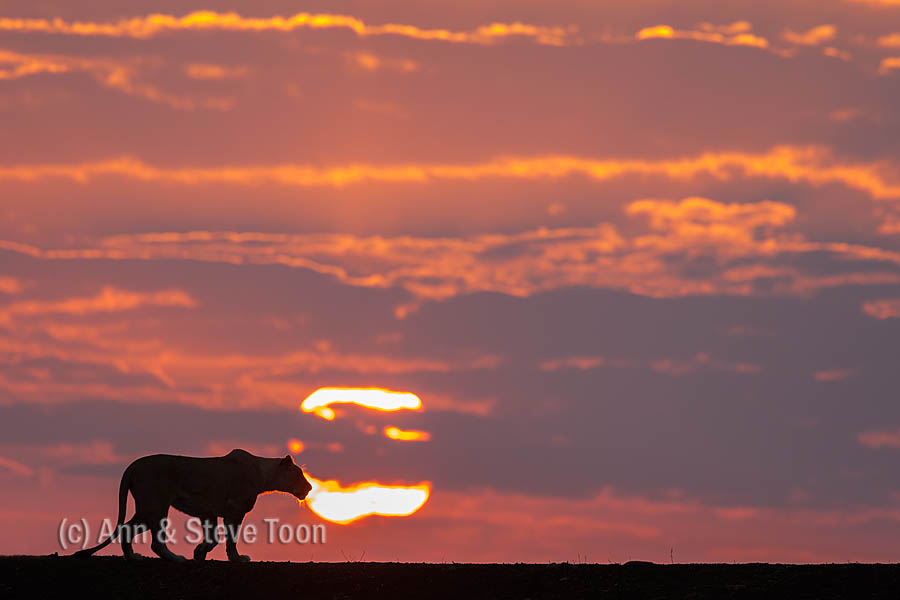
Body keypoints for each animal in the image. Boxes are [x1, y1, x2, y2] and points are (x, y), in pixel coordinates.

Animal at [73, 448, 312, 562]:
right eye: (298, 474)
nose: (310, 487)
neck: (264, 475)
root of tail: (132, 466)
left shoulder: (209, 512)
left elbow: (213, 537)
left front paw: (199, 552)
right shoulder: (235, 509)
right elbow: (231, 538)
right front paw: (237, 558)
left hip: (147, 507)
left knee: (125, 529)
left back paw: (132, 557)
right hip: (156, 505)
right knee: (155, 542)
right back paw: (175, 558)